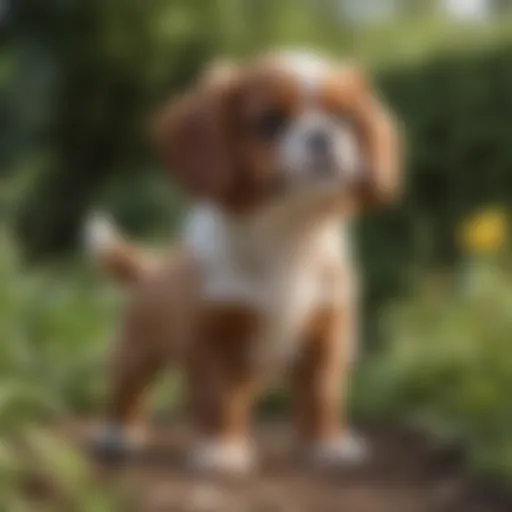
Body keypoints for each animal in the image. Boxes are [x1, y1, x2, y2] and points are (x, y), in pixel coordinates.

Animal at [86, 50, 402, 474]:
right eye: (271, 121)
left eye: (344, 118)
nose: (322, 135)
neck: (287, 231)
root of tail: (150, 269)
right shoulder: (211, 338)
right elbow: (217, 397)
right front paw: (221, 450)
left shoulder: (326, 332)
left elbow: (322, 394)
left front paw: (328, 445)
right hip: (135, 351)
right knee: (128, 391)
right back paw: (120, 434)